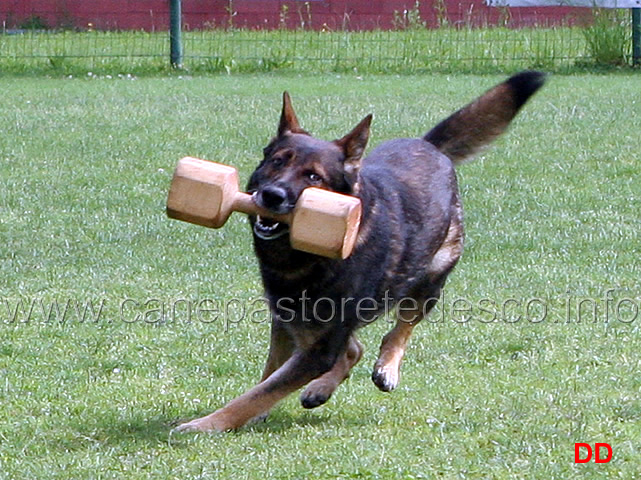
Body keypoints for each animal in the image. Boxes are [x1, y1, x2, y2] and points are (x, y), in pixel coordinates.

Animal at [176, 72, 544, 436]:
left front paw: (207, 424)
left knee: (401, 327)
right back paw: (321, 389)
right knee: (354, 348)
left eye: (314, 176)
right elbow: (268, 378)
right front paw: (251, 415)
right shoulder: (288, 323)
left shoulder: (319, 347)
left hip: (430, 278)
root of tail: (428, 145)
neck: (305, 257)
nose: (271, 195)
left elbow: (260, 392)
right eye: (276, 163)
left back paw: (387, 367)